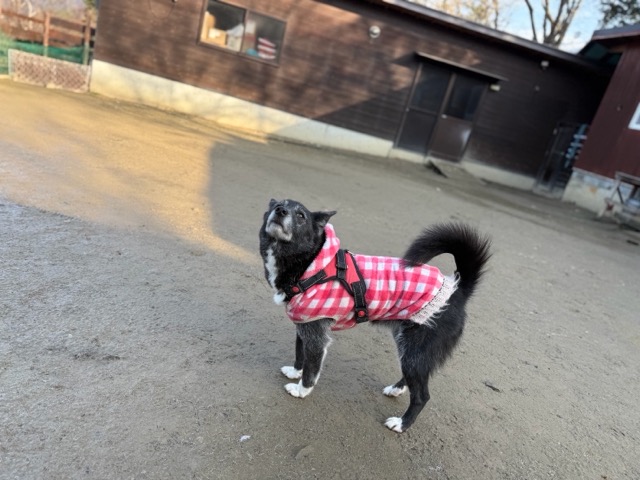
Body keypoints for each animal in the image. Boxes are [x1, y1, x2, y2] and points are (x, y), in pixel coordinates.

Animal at [259, 199, 491, 433]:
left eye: (301, 216)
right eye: (276, 205)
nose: (280, 210)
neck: (313, 265)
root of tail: (457, 289)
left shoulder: (316, 337)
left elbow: (311, 369)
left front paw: (301, 390)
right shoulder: (304, 325)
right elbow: (300, 354)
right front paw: (294, 371)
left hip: (416, 351)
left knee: (422, 396)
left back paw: (401, 423)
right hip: (410, 350)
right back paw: (396, 390)